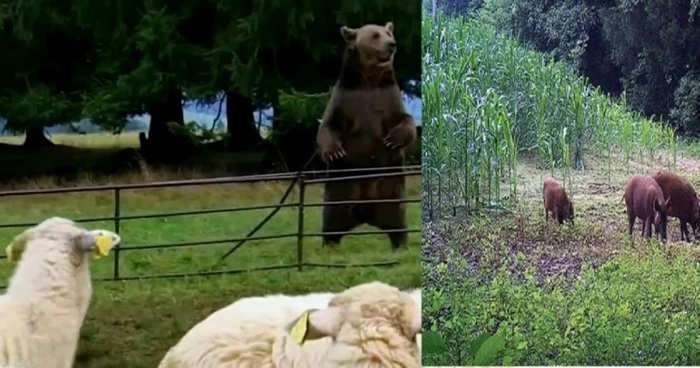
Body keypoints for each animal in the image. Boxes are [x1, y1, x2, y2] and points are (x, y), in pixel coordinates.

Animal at [316, 20, 416, 250]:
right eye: (375, 35)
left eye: (388, 33)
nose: (392, 45)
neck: (369, 79)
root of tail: (365, 214)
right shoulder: (345, 98)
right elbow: (328, 125)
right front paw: (333, 152)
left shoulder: (388, 98)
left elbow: (406, 121)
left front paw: (392, 140)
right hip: (339, 192)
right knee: (331, 223)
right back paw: (329, 246)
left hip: (391, 193)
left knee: (398, 223)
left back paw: (400, 245)